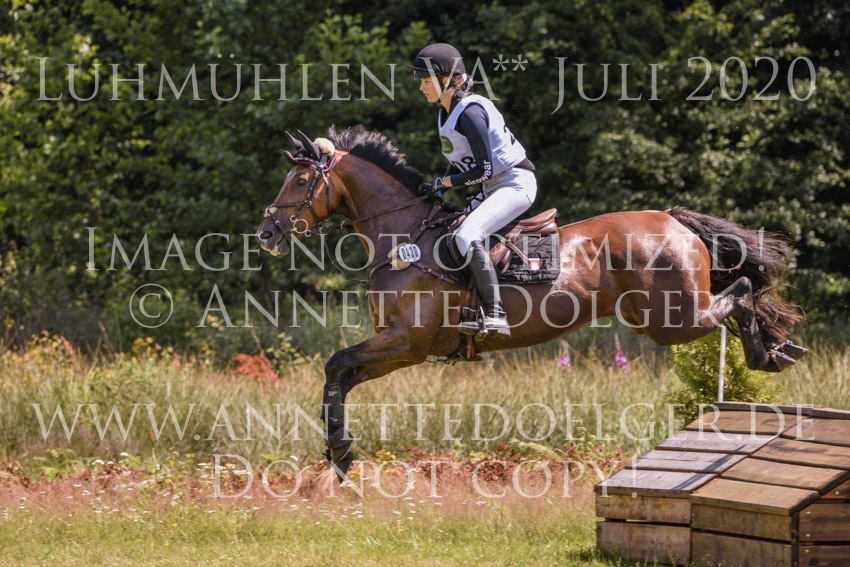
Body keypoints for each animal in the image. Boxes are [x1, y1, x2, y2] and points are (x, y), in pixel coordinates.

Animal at [256, 125, 806, 477]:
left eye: (301, 180)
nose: (267, 232)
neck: (405, 236)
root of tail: (672, 218)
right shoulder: (399, 348)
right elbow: (339, 375)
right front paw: (340, 451)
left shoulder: (407, 343)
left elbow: (335, 362)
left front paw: (340, 450)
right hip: (659, 315)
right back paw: (778, 350)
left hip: (673, 318)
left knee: (740, 292)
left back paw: (766, 354)